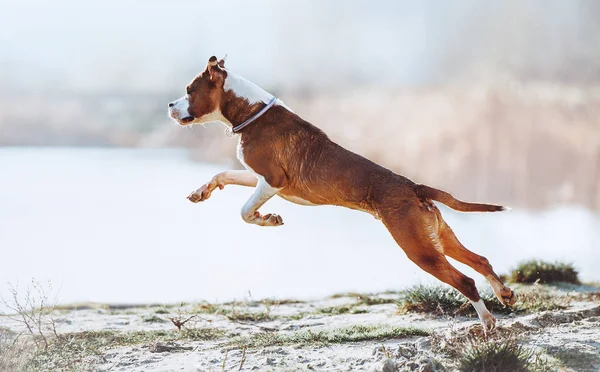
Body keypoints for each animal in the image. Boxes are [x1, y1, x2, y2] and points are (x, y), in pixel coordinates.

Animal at [168, 56, 516, 332]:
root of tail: (415, 187)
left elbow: (244, 211)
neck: (251, 111)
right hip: (439, 237)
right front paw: (201, 191)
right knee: (480, 260)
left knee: (465, 280)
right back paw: (504, 293)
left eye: (189, 90)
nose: (169, 105)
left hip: (419, 249)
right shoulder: (259, 177)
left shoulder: (273, 180)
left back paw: (487, 321)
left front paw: (267, 218)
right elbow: (223, 175)